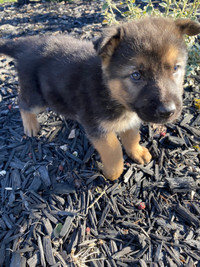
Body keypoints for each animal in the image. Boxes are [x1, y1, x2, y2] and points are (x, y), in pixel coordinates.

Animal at [0, 16, 199, 181]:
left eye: (175, 68)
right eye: (136, 75)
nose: (168, 112)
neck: (111, 92)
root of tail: (27, 45)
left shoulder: (131, 119)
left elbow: (131, 137)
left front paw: (137, 152)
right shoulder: (96, 126)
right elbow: (113, 147)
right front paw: (114, 172)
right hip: (37, 97)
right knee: (22, 103)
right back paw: (31, 126)